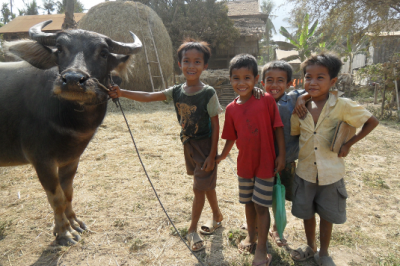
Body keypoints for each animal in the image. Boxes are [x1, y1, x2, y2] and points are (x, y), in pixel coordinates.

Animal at [0, 20, 142, 245]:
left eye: (103, 53)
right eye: (60, 49)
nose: (74, 79)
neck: (71, 124)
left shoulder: (71, 159)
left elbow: (68, 192)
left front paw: (75, 222)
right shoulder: (41, 160)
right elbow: (56, 197)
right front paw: (64, 232)